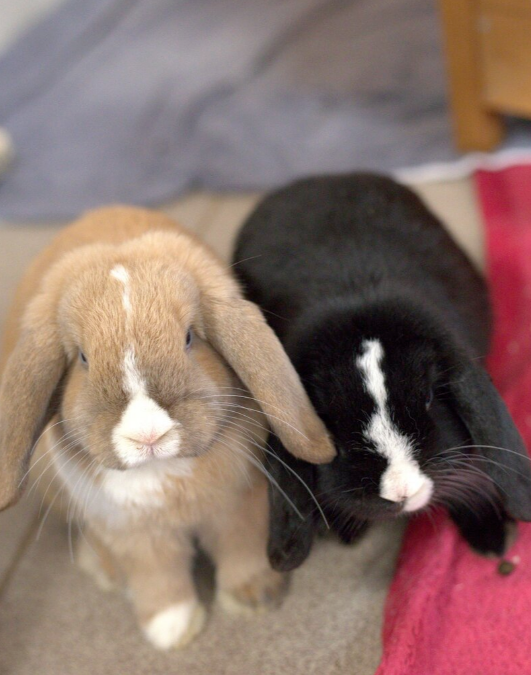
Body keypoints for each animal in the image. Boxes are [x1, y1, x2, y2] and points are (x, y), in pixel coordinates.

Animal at [0, 205, 335, 649]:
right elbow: (157, 578)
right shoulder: (133, 533)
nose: (148, 435)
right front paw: (173, 632)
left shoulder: (239, 503)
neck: (163, 472)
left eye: (189, 337)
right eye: (83, 358)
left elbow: (241, 548)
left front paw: (255, 599)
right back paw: (107, 572)